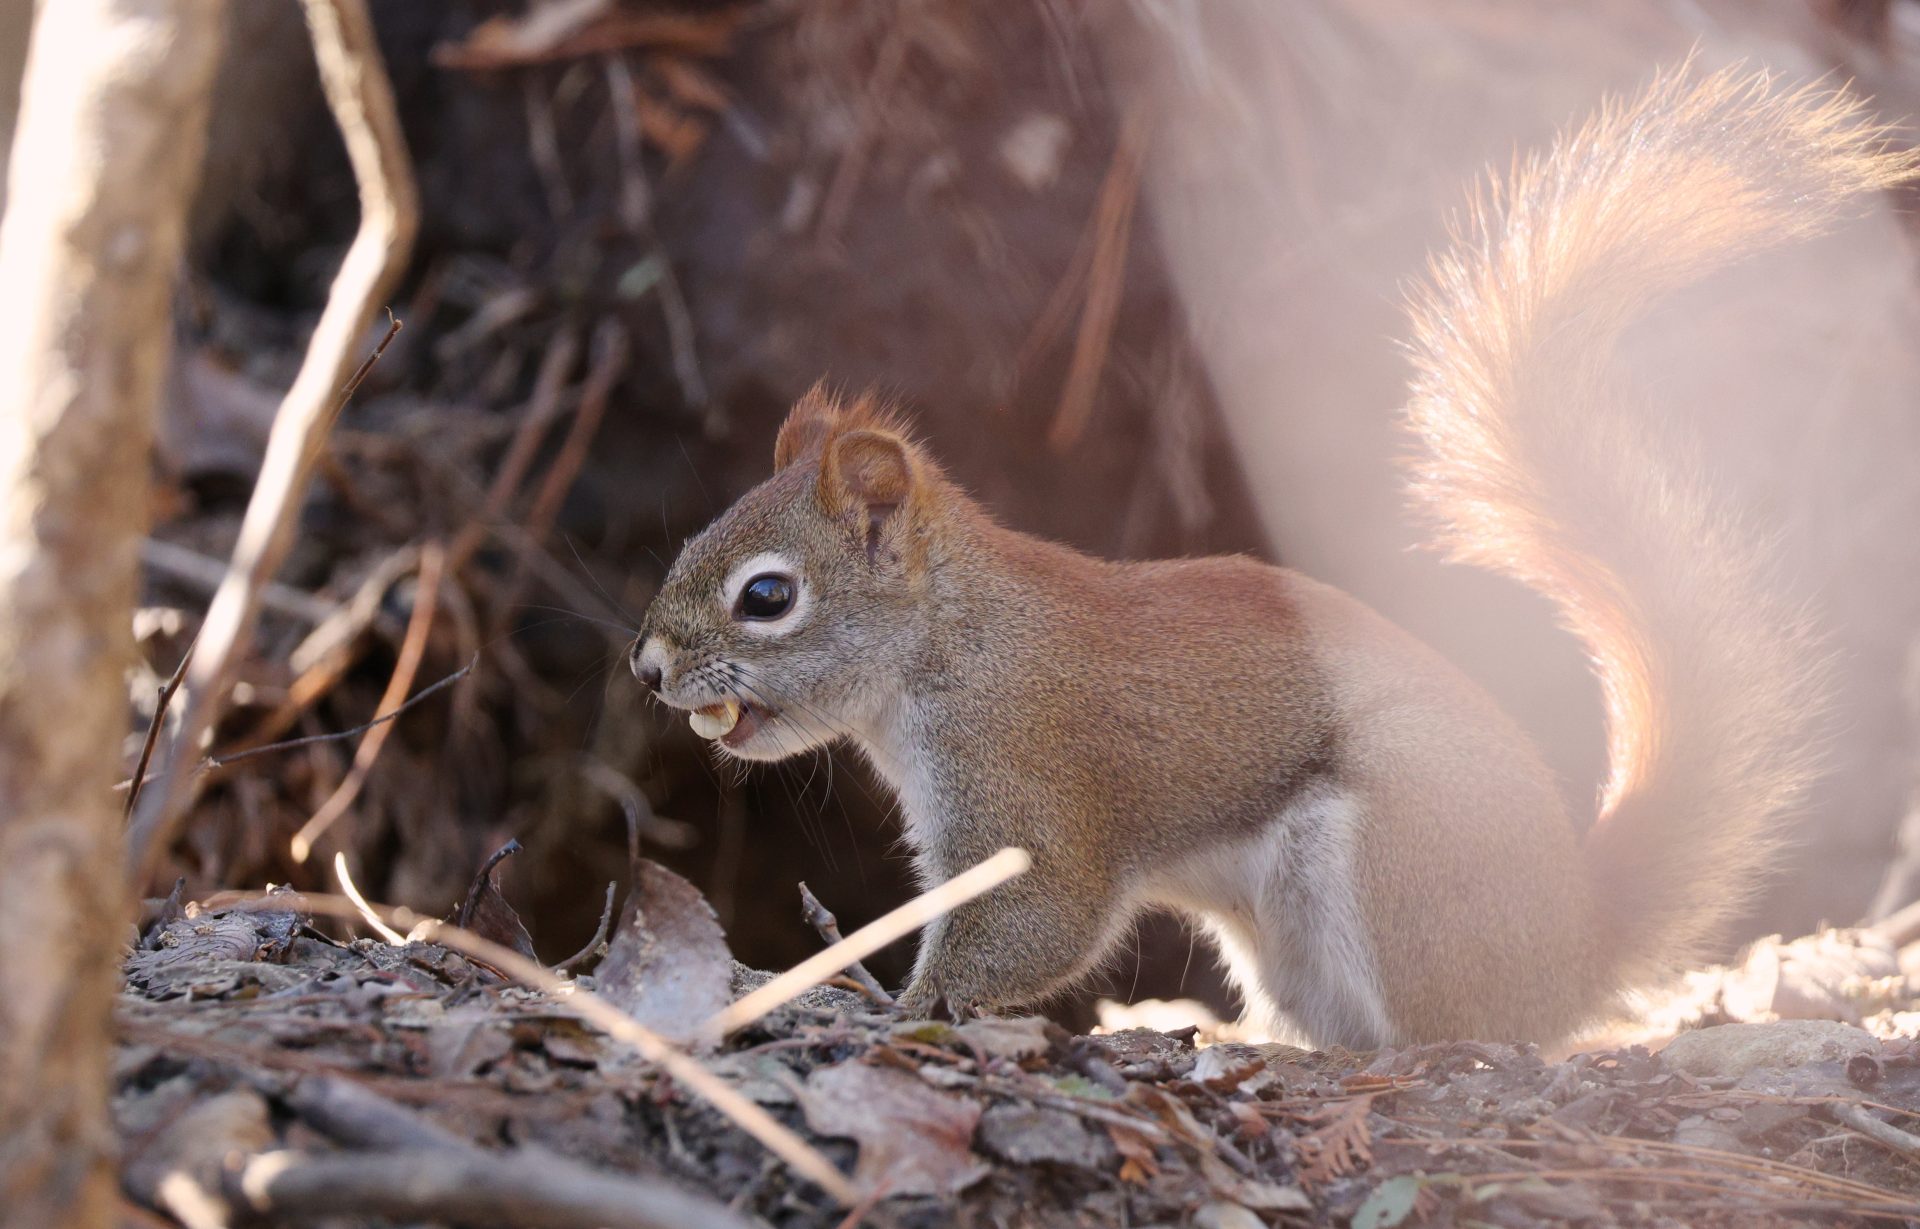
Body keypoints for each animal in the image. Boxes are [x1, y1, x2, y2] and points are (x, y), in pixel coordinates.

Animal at [632, 67, 1919, 1047]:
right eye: (692, 539)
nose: (646, 667)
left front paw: (901, 1003)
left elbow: (1040, 912)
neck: (954, 636)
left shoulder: (1031, 777)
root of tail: (1573, 946)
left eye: (767, 596)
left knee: (1464, 1037)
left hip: (1400, 854)